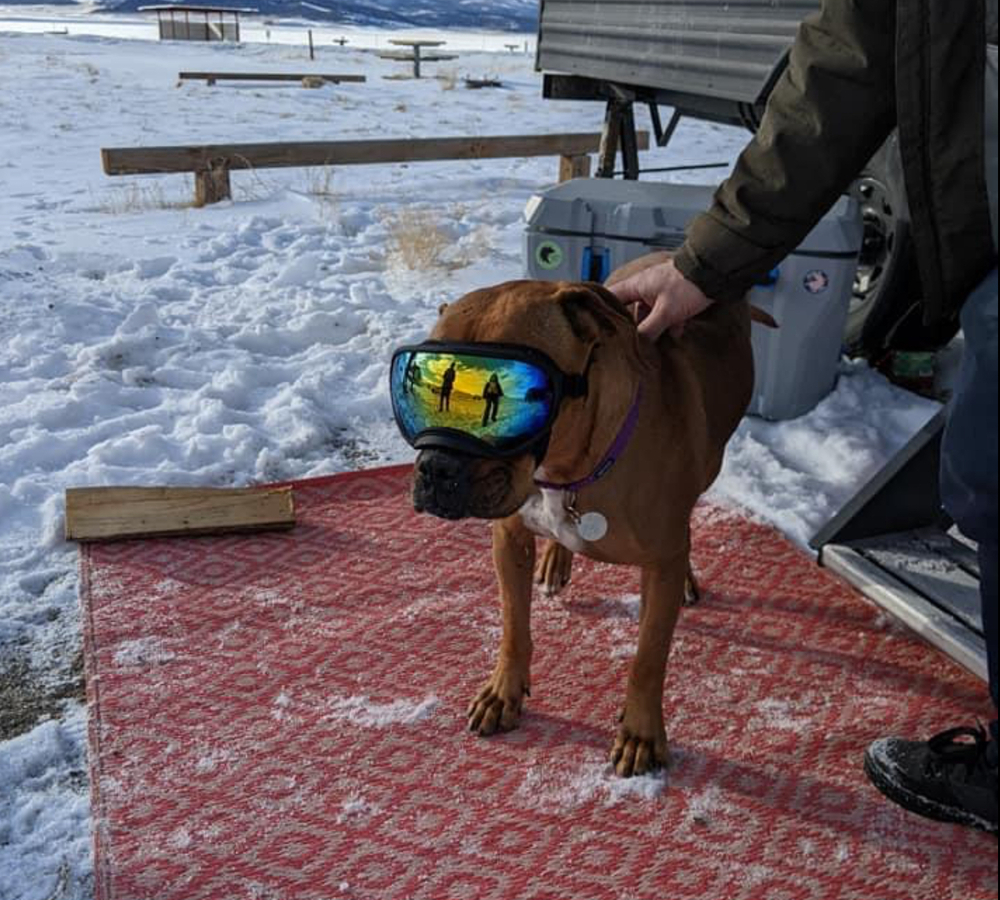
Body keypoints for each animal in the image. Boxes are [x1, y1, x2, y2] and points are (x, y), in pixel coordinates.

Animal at [390, 251, 756, 772]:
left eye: (524, 395)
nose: (437, 468)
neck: (570, 470)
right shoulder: (509, 540)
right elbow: (513, 625)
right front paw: (504, 692)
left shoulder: (660, 565)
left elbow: (649, 656)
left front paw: (641, 732)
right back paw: (556, 559)